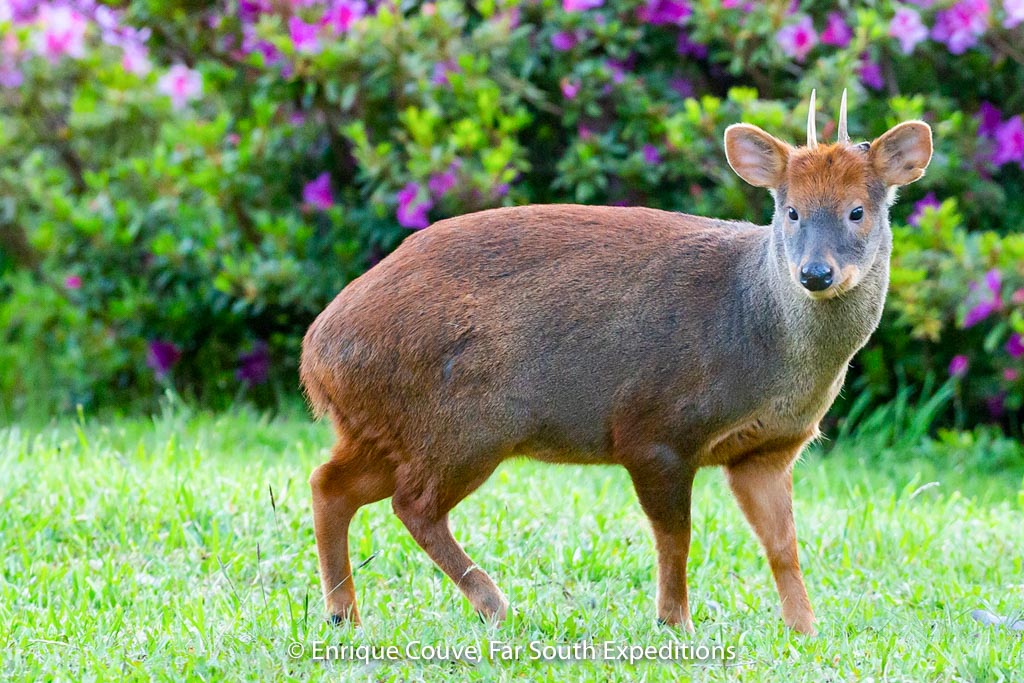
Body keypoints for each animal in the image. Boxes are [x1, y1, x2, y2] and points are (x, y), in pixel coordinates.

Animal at [299, 89, 933, 634]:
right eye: (793, 211)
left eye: (857, 211)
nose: (815, 273)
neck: (757, 333)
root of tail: (317, 353)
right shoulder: (653, 429)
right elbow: (675, 539)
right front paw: (675, 622)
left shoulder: (766, 451)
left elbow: (784, 547)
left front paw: (804, 629)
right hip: (464, 422)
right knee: (411, 504)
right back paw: (493, 604)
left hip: (390, 425)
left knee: (330, 484)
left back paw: (343, 613)